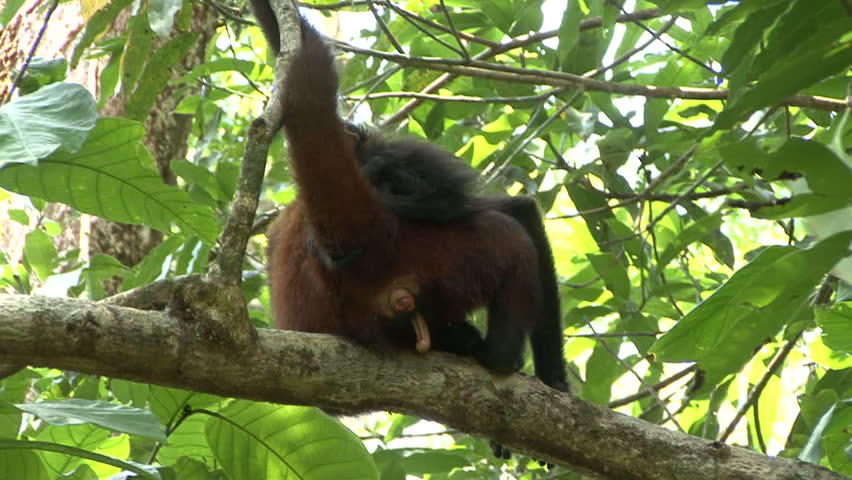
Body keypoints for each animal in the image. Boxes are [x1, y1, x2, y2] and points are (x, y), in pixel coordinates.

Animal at [256, 3, 568, 394]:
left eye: (390, 182)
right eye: (378, 181)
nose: (384, 190)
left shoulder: (401, 155)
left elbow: (454, 200)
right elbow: (515, 210)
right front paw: (556, 378)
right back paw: (496, 355)